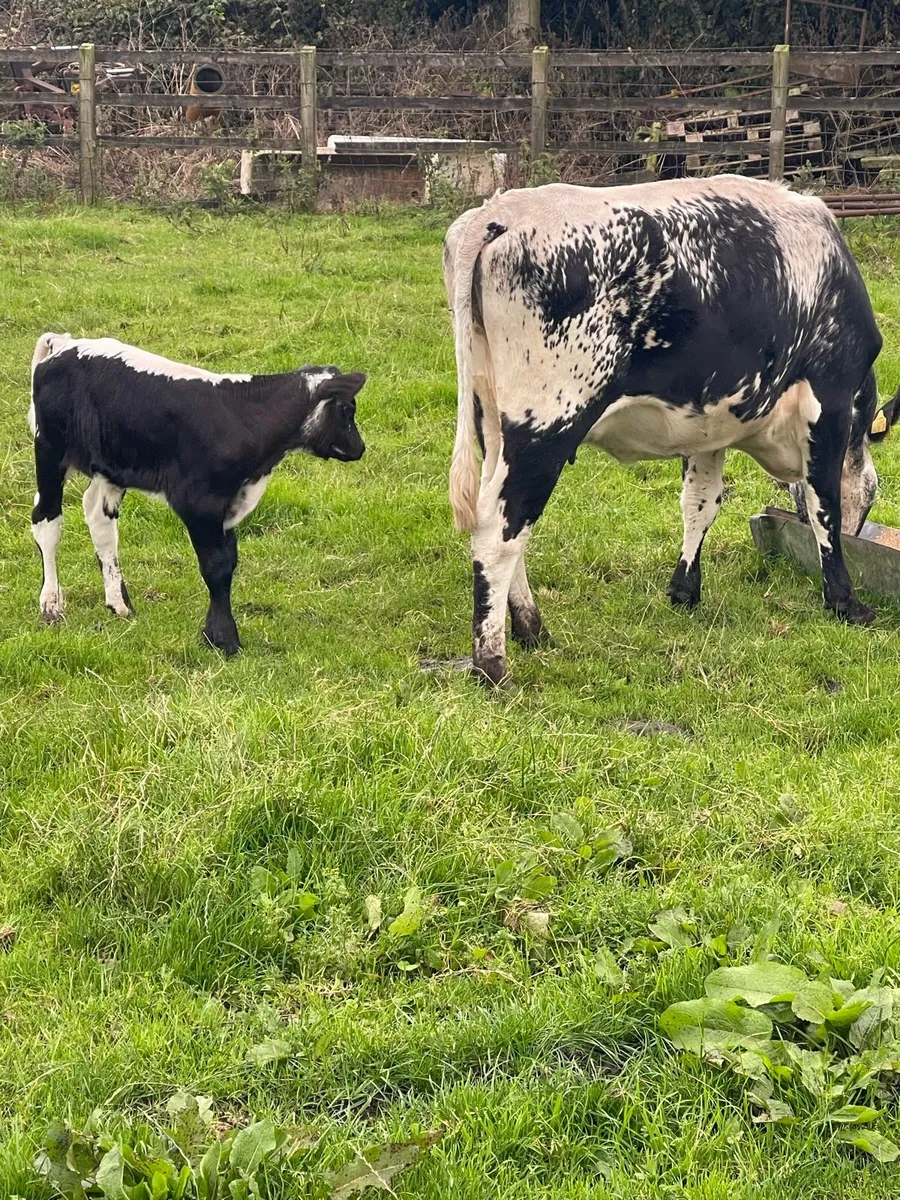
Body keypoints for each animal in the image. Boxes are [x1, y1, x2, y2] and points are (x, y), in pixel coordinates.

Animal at [29, 333, 366, 656]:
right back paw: (51, 604)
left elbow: (229, 561)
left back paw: (120, 604)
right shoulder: (199, 503)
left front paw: (212, 633)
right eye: (346, 409)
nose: (360, 448)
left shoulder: (228, 503)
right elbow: (215, 566)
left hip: (110, 465)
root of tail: (63, 343)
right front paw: (224, 639)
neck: (245, 416)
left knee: (99, 519)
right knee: (46, 520)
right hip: (49, 448)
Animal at [444, 176, 897, 686]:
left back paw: (532, 628)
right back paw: (492, 662)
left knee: (506, 518)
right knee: (500, 528)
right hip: (546, 424)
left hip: (493, 422)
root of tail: (500, 212)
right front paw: (846, 602)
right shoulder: (830, 401)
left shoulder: (710, 426)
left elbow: (700, 503)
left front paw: (685, 590)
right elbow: (826, 508)